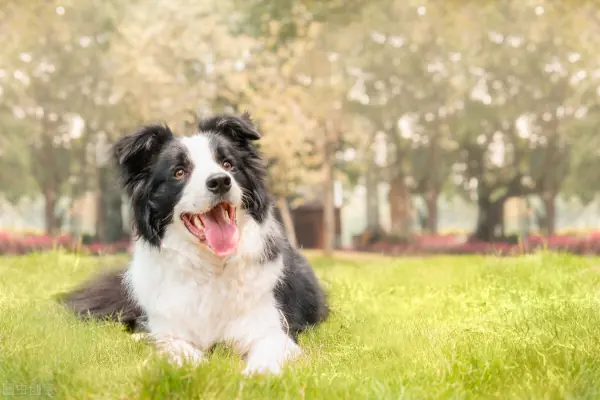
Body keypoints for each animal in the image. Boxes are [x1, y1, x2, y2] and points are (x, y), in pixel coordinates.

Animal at [61, 111, 328, 376]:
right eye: (179, 172)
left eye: (227, 164)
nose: (220, 181)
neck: (210, 265)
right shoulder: (171, 329)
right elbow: (177, 348)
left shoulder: (271, 328)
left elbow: (267, 354)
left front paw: (257, 375)